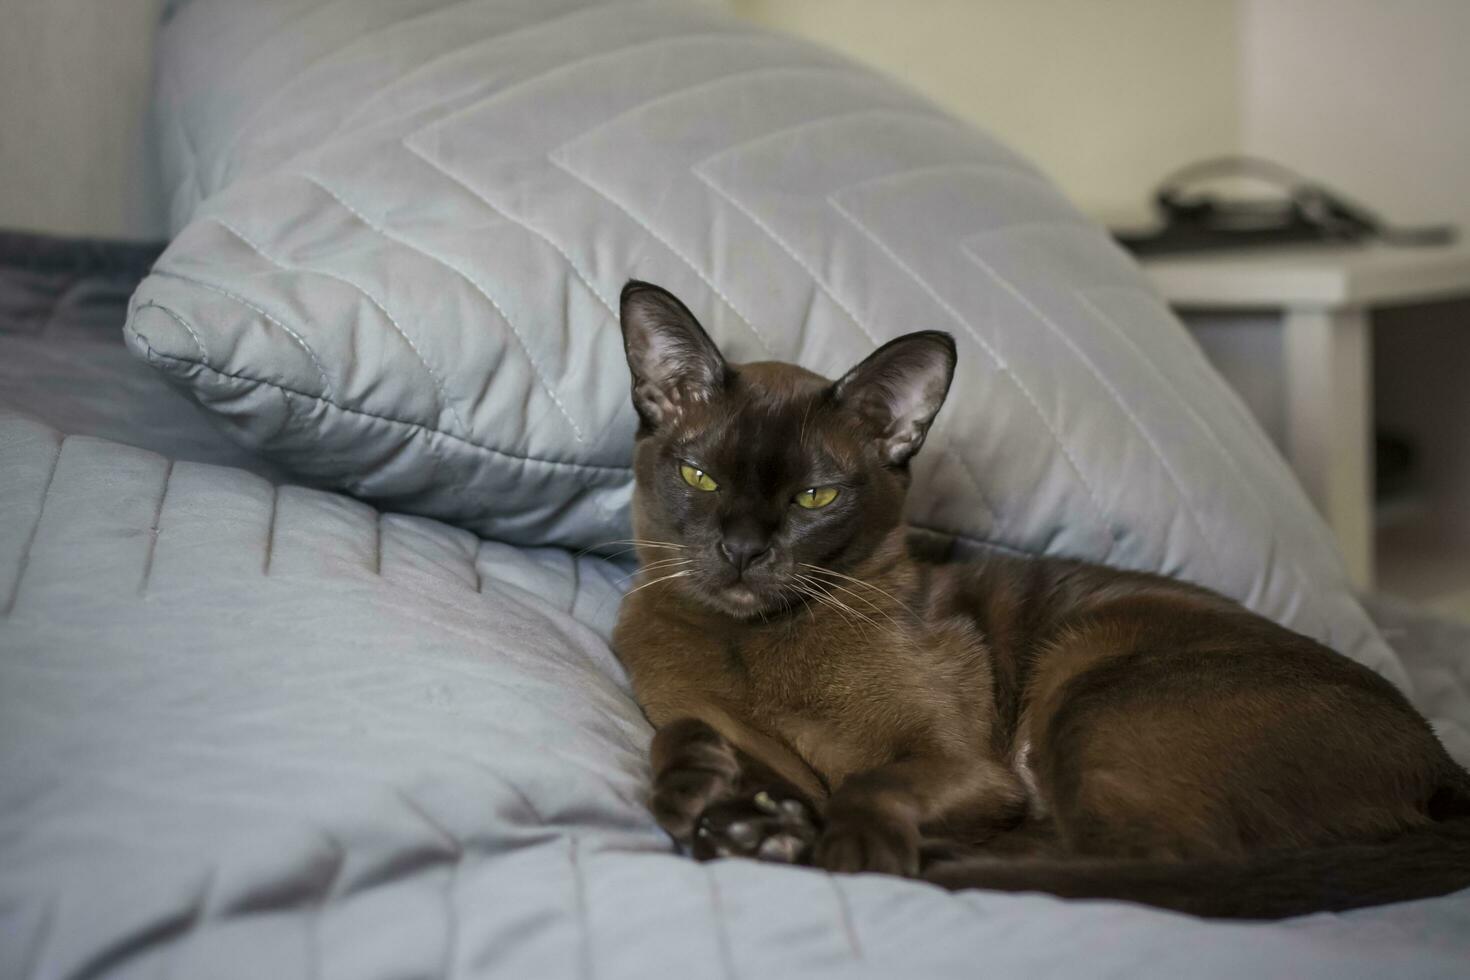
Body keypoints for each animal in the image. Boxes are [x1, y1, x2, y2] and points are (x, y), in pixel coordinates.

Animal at [605, 277, 1470, 922]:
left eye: (816, 497)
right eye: (700, 477)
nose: (744, 552)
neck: (755, 646)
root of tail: (1443, 764)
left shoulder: (962, 765)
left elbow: (866, 784)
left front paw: (843, 849)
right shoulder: (716, 721)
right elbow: (681, 733)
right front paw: (706, 798)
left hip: (1093, 691)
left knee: (1144, 867)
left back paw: (831, 851)